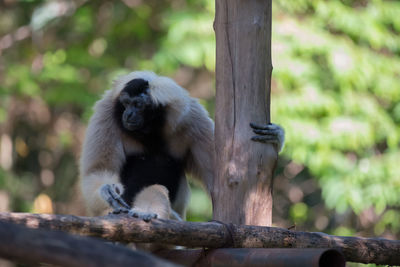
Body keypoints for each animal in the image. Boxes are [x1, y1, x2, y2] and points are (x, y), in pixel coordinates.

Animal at [79, 70, 284, 224]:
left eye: (138, 105)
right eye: (126, 103)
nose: (128, 114)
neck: (152, 131)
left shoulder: (193, 118)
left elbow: (219, 177)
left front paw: (276, 137)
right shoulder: (106, 114)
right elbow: (96, 172)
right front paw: (106, 190)